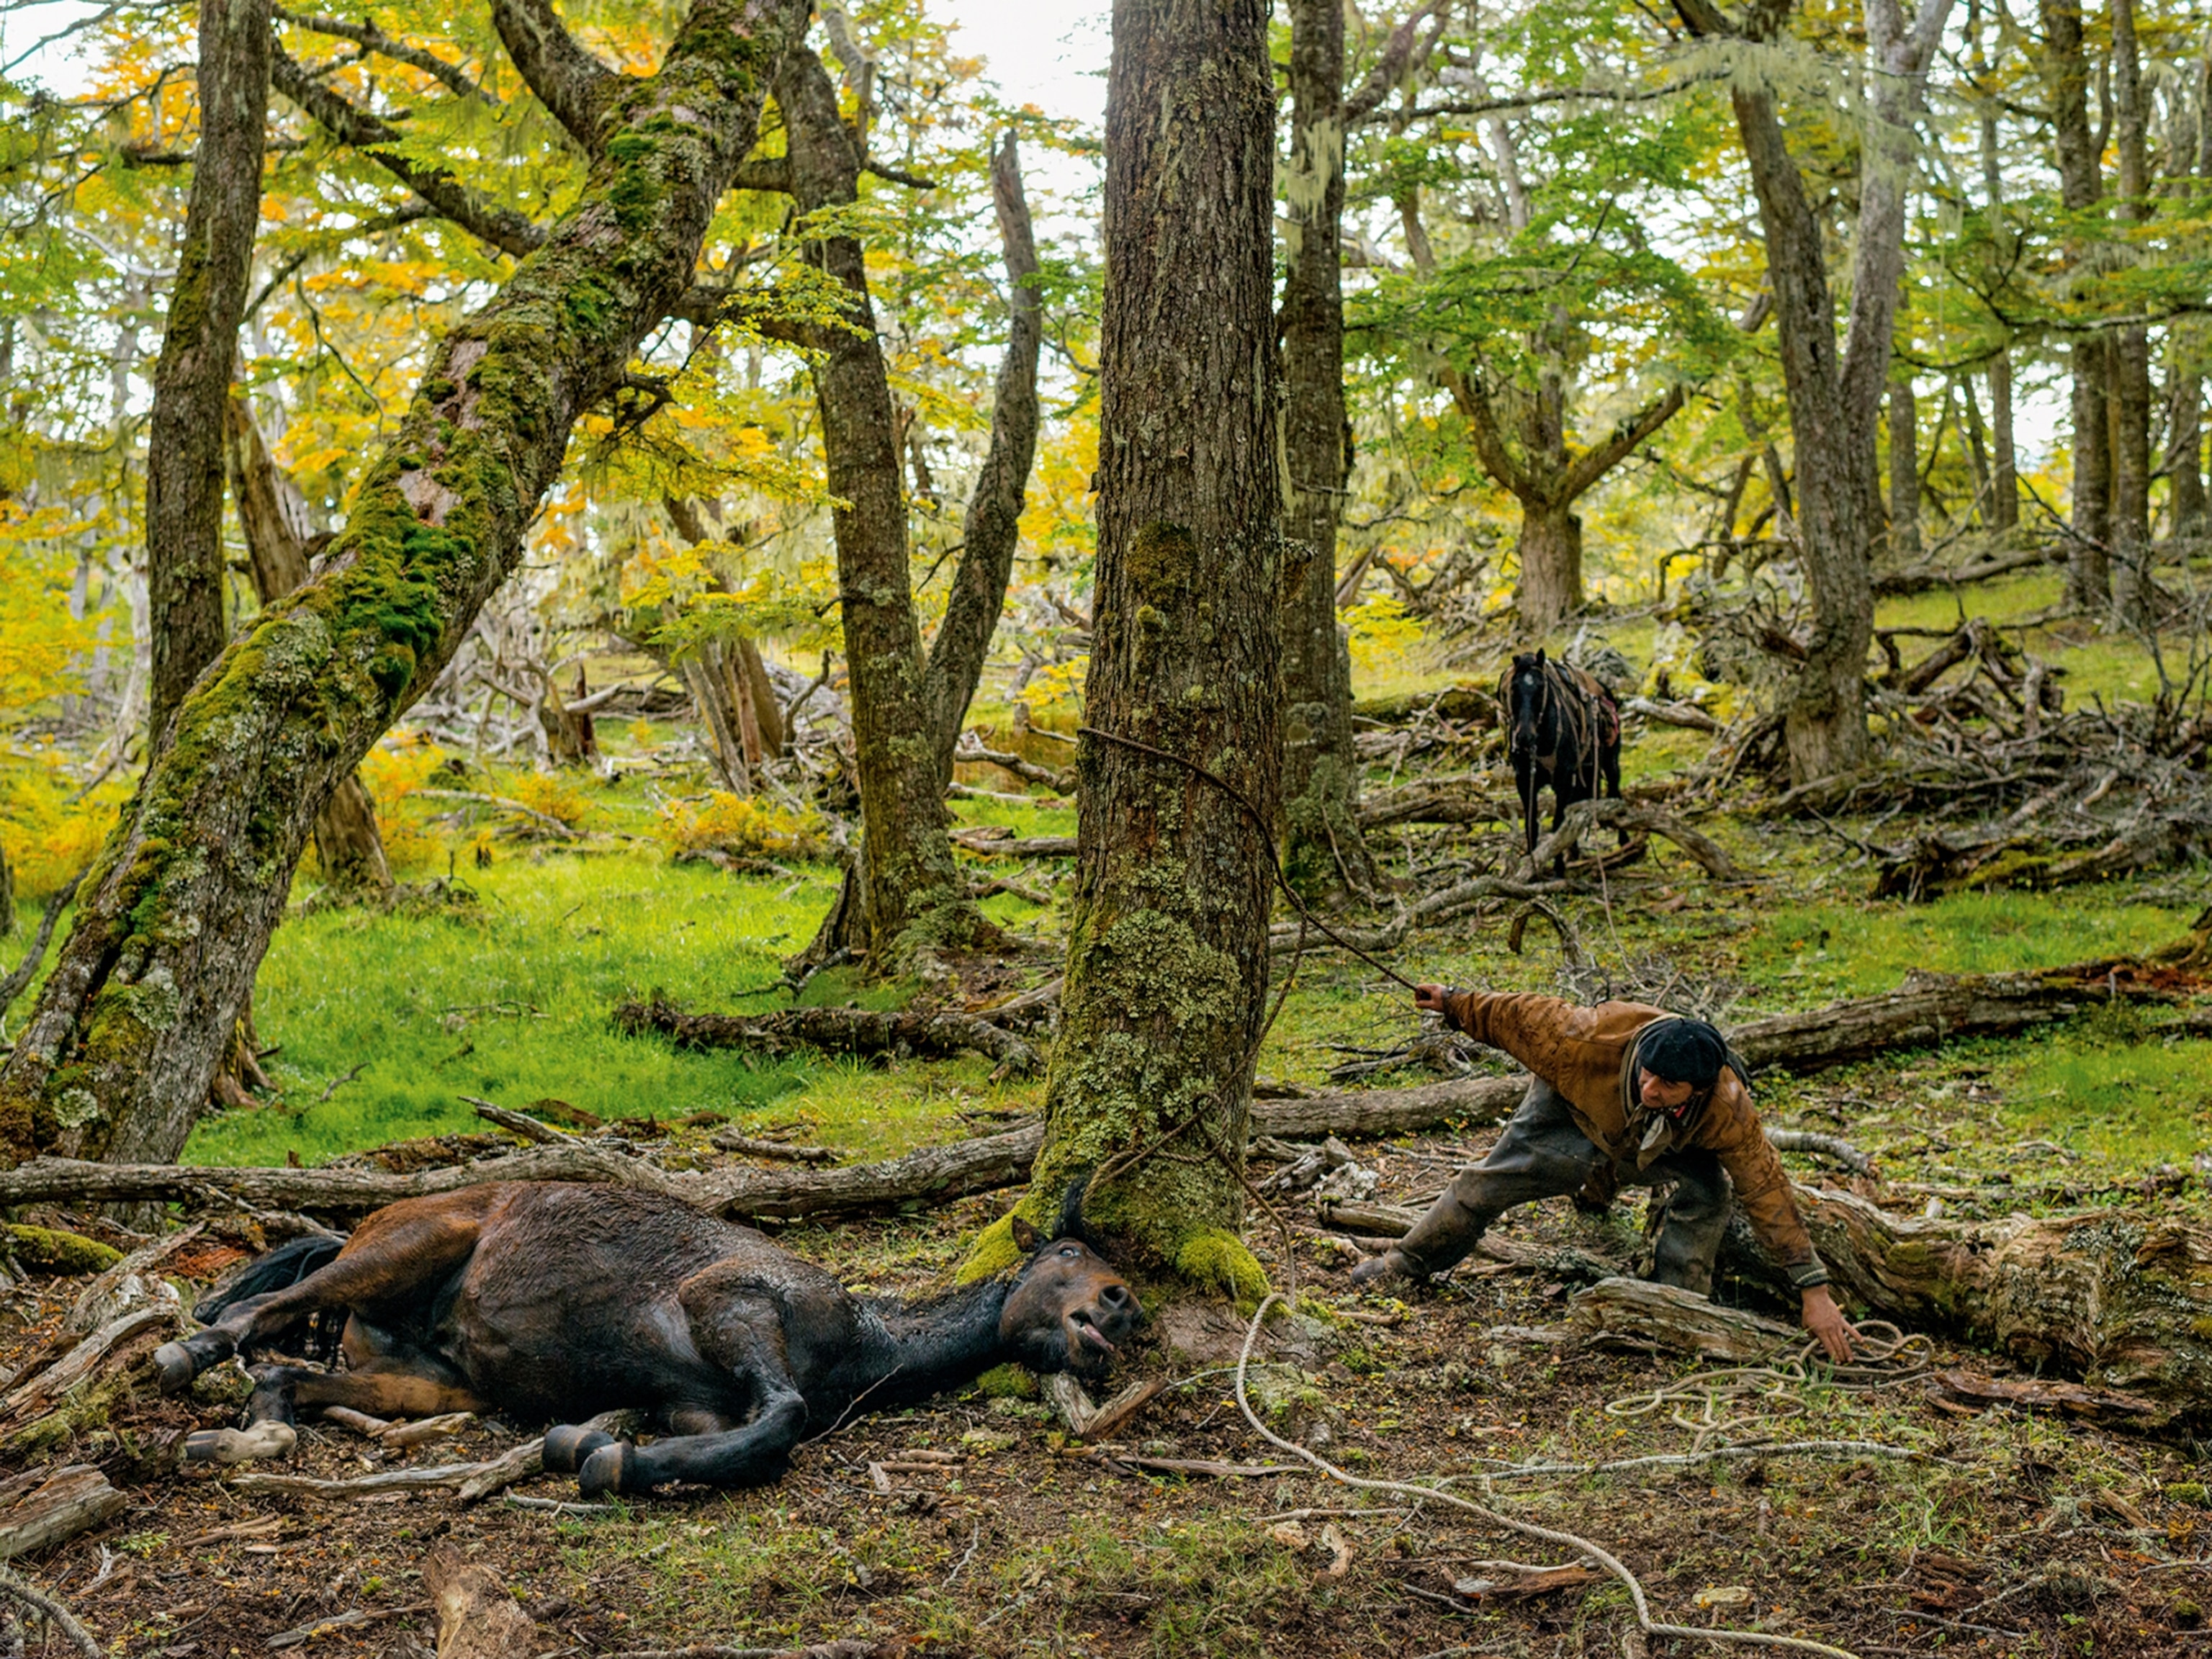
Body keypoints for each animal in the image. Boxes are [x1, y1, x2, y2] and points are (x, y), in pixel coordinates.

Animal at [152, 1180, 1137, 1497]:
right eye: (1068, 1251)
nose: (1122, 1308)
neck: (861, 1340)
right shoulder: (730, 1306)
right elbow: (782, 1421)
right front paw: (600, 1457)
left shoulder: (695, 1409)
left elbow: (745, 1442)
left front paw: (595, 1447)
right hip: (404, 1248)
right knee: (252, 1315)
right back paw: (180, 1356)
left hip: (436, 1380)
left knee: (286, 1378)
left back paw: (248, 1435)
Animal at [1500, 648, 1621, 872]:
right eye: (1513, 689)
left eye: (1541, 688)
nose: (1525, 737)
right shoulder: (1524, 781)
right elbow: (1532, 824)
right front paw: (1531, 865)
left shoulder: (1563, 778)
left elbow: (1557, 824)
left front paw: (1558, 868)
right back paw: (1574, 853)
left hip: (1610, 763)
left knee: (1615, 795)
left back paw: (1625, 845)